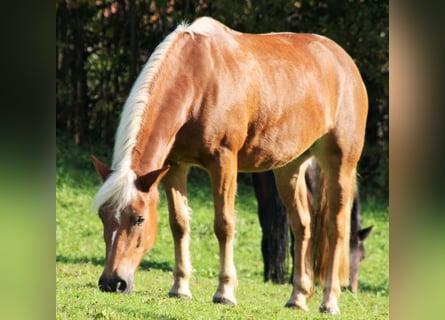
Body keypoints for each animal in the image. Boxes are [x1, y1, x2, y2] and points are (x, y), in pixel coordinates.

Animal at [91, 16, 368, 314]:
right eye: (103, 215)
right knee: (302, 226)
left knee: (335, 228)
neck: (197, 80)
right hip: (289, 168)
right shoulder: (175, 167)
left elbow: (224, 225)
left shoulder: (223, 162)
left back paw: (329, 301)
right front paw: (180, 287)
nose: (112, 282)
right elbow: (179, 224)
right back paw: (298, 297)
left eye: (139, 218)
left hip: (340, 163)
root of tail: (344, 61)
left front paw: (224, 292)